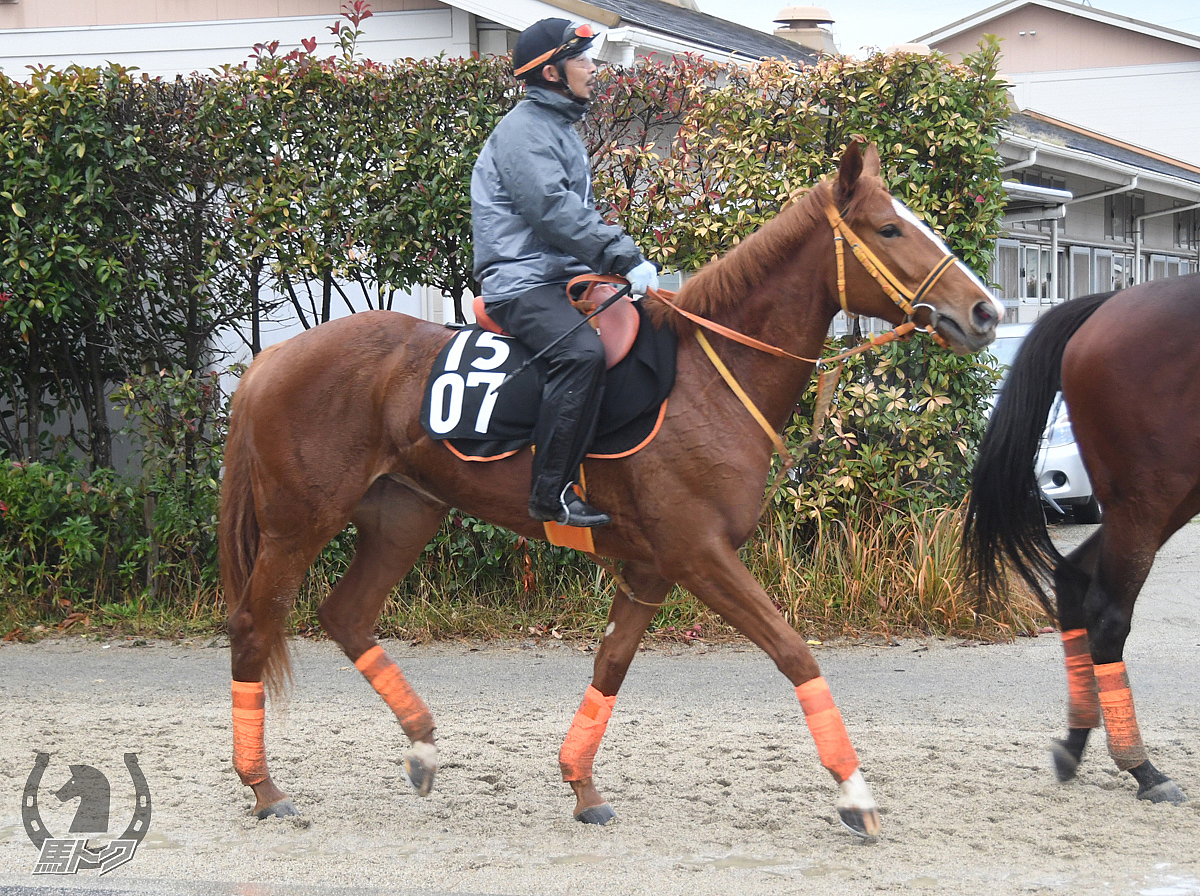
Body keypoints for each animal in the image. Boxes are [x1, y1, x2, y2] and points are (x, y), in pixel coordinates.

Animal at [218, 142, 1003, 839]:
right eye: (889, 228)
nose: (985, 312)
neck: (710, 380)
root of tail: (272, 360)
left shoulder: (652, 568)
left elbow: (611, 665)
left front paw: (582, 785)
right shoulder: (699, 555)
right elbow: (795, 653)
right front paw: (855, 793)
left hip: (403, 515)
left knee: (346, 615)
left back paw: (422, 746)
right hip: (297, 525)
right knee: (254, 627)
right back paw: (264, 788)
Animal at [960, 273, 1200, 806]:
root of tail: (1111, 302)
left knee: (1074, 578)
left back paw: (1075, 744)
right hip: (1148, 497)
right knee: (1107, 614)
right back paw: (1143, 769)